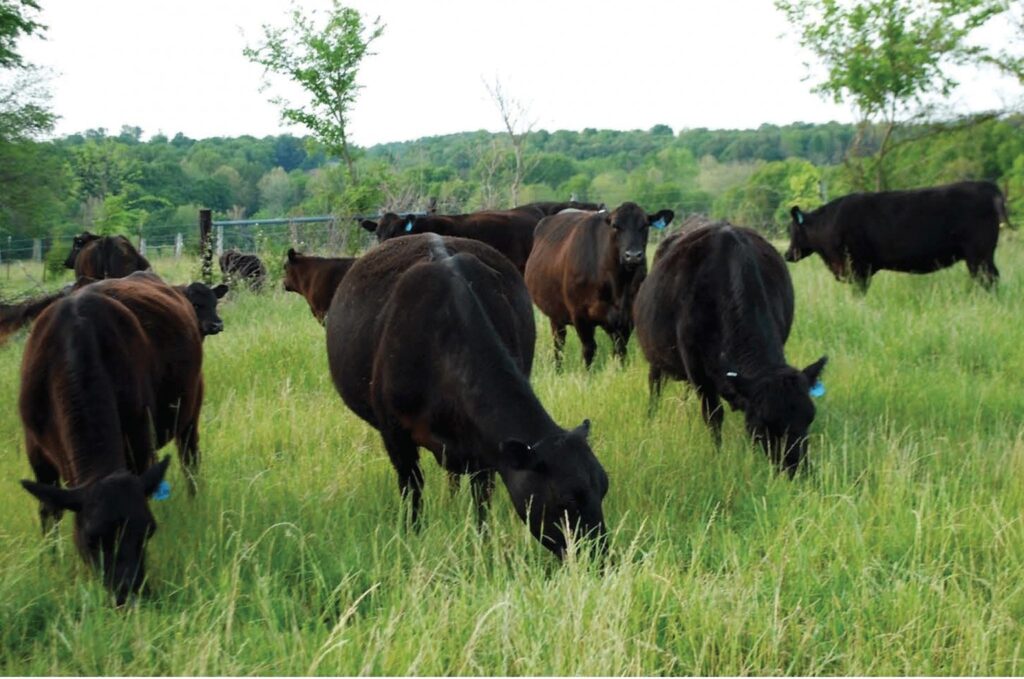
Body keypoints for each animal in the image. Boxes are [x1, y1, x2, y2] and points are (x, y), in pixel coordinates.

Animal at [325, 233, 606, 557]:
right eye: (566, 501)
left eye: (604, 487)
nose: (600, 557)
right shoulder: (395, 434)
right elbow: (412, 488)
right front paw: (412, 534)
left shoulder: (484, 448)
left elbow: (482, 497)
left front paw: (482, 540)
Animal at [524, 202, 675, 372]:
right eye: (615, 226)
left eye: (644, 225)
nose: (633, 255)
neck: (618, 285)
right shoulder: (580, 314)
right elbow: (589, 349)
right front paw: (586, 375)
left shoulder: (628, 317)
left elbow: (620, 350)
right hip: (555, 314)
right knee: (559, 343)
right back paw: (558, 370)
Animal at [634, 222, 827, 473]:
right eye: (764, 422)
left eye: (809, 417)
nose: (797, 469)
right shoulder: (698, 372)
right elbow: (713, 415)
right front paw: (717, 455)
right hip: (655, 358)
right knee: (655, 385)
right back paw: (651, 416)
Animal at [786, 180, 1003, 292]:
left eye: (792, 230)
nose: (787, 255)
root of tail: (986, 185)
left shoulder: (858, 269)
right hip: (982, 255)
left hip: (979, 254)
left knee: (988, 279)